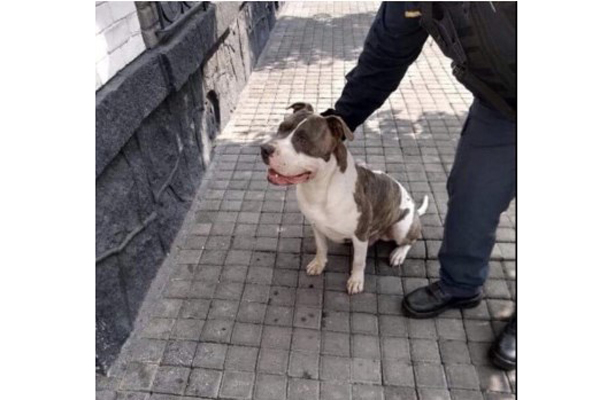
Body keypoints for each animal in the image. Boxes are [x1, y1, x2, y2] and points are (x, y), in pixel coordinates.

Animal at [260, 102, 428, 294]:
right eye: (281, 128)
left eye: (302, 139)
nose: (264, 149)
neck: (320, 188)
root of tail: (415, 209)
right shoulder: (316, 225)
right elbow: (321, 248)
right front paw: (318, 264)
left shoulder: (360, 235)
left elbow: (358, 261)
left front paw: (356, 280)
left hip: (401, 227)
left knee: (411, 240)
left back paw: (399, 254)